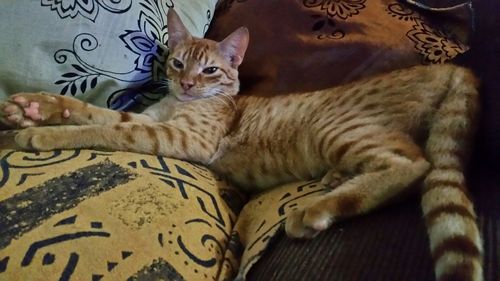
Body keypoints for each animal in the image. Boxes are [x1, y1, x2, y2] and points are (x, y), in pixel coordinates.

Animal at [0, 7, 484, 280]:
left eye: (211, 70)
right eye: (177, 63)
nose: (188, 83)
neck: (180, 104)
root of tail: (451, 68)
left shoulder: (178, 137)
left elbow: (108, 130)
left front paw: (41, 132)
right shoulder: (150, 119)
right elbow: (97, 113)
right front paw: (39, 106)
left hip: (338, 129)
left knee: (412, 165)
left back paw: (317, 209)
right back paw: (335, 180)